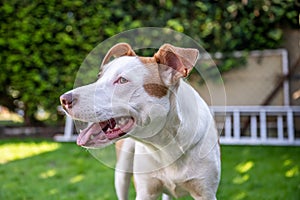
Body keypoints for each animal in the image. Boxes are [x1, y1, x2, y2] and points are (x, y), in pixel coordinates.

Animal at [60, 43, 220, 199]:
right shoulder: (145, 191)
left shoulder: (206, 193)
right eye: (99, 77)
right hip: (121, 173)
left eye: (122, 80)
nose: (63, 100)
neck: (166, 144)